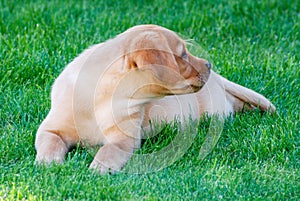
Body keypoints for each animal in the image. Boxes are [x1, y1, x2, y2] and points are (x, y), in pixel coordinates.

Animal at [34, 24, 274, 173]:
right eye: (183, 55)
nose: (209, 64)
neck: (101, 96)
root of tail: (218, 78)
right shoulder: (51, 128)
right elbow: (49, 143)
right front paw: (48, 164)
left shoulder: (123, 139)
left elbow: (108, 150)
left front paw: (98, 168)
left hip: (214, 109)